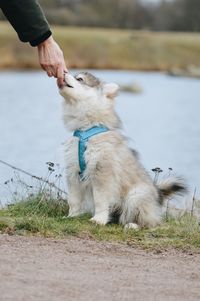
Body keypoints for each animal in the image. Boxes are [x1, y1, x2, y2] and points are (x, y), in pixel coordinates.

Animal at [59, 72, 186, 227]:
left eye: (80, 79)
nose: (64, 73)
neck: (88, 129)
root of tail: (158, 195)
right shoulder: (74, 171)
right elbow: (74, 199)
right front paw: (72, 215)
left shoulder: (102, 172)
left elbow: (100, 200)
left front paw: (99, 219)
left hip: (135, 196)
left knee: (151, 222)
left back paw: (133, 225)